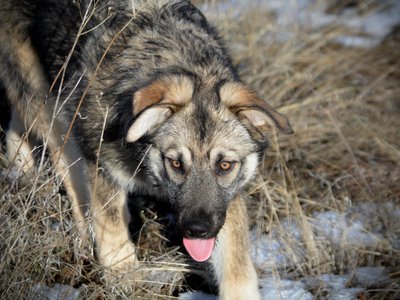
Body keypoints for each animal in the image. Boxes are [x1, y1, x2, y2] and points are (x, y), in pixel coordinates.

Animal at [0, 0, 294, 298]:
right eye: (176, 163)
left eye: (225, 165)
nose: (197, 230)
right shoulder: (101, 166)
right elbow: (111, 227)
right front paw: (123, 275)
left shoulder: (226, 203)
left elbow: (237, 264)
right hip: (49, 105)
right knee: (65, 162)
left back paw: (19, 168)